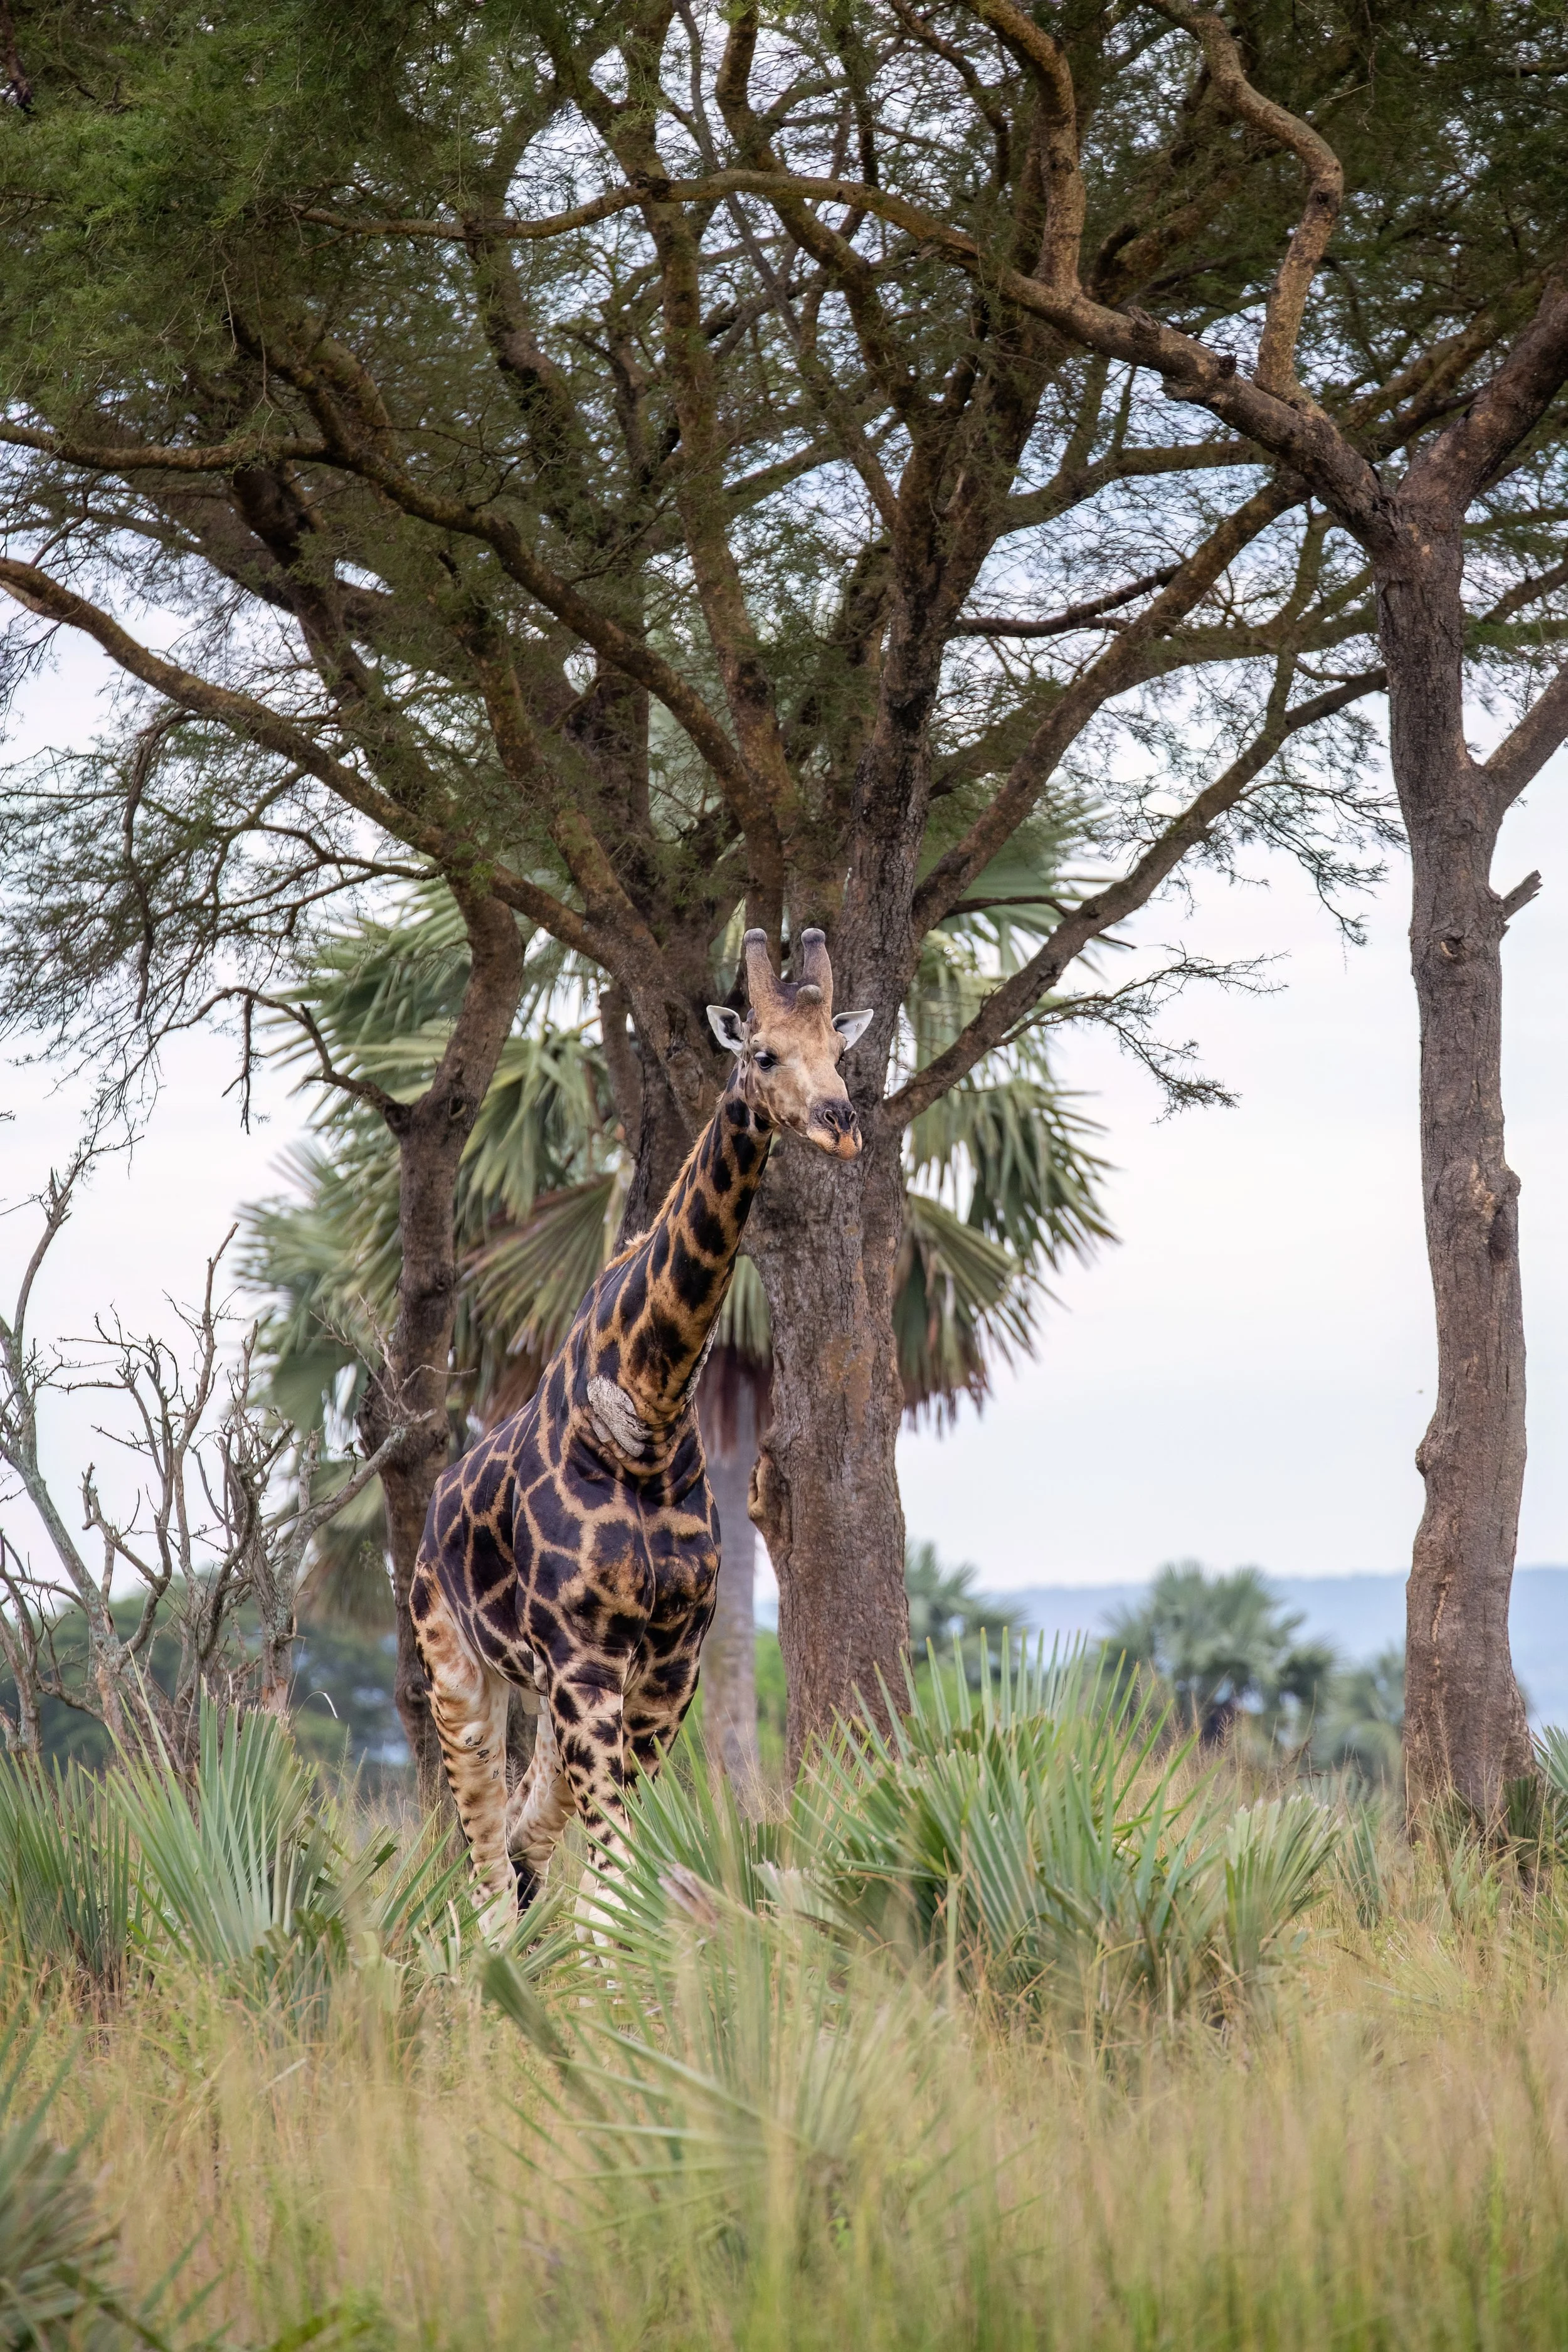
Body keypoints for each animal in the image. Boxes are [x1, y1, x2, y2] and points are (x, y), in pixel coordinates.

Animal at [409, 927, 875, 1930]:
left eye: (838, 1047)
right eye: (762, 1053)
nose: (841, 1122)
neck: (650, 1419)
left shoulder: (669, 1664)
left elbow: (610, 1878)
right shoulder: (583, 1659)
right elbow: (607, 1868)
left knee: (525, 1840)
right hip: (457, 1673)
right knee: (486, 1867)